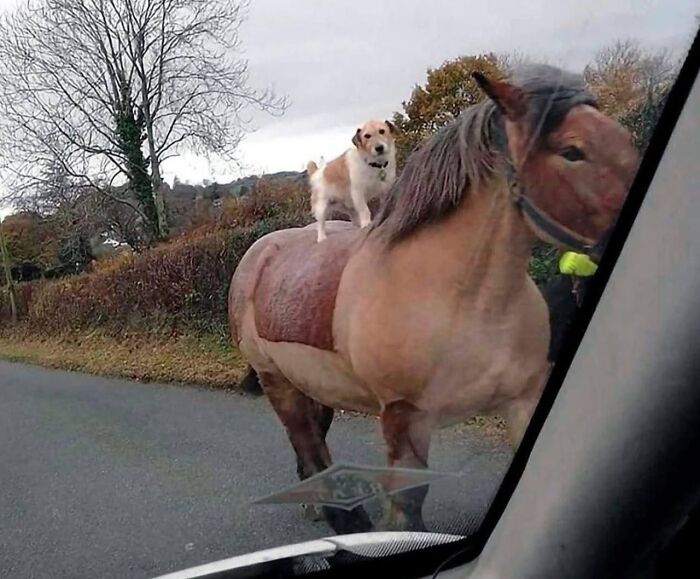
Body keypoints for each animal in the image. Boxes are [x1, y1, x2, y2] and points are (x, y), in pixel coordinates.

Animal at [228, 65, 639, 535]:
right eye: (572, 151)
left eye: (622, 136)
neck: (460, 300)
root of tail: (259, 253)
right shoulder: (405, 418)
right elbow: (406, 507)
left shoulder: (524, 399)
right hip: (278, 383)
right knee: (310, 446)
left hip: (312, 385)